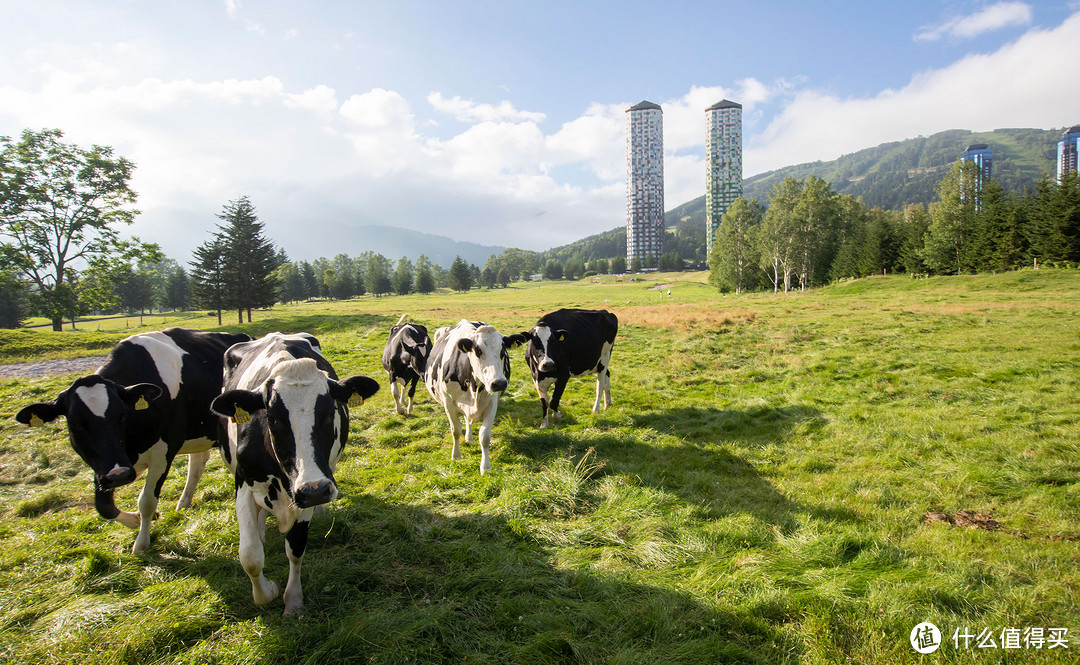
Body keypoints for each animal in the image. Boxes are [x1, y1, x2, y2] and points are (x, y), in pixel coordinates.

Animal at [15, 326, 251, 550]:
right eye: (75, 424)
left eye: (121, 416)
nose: (119, 475)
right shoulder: (103, 465)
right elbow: (103, 506)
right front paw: (135, 521)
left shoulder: (162, 452)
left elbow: (146, 500)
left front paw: (141, 543)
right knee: (198, 461)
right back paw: (183, 503)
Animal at [207, 330, 380, 617]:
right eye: (273, 419)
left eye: (330, 412)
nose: (316, 491)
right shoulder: (244, 484)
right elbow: (250, 555)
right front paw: (268, 591)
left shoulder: (307, 491)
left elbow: (296, 547)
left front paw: (293, 600)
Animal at [421, 321, 527, 472]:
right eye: (478, 351)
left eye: (503, 351)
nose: (499, 383)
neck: (474, 386)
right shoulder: (448, 401)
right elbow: (455, 430)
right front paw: (456, 455)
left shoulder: (492, 403)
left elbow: (484, 436)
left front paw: (485, 466)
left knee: (468, 419)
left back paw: (469, 437)